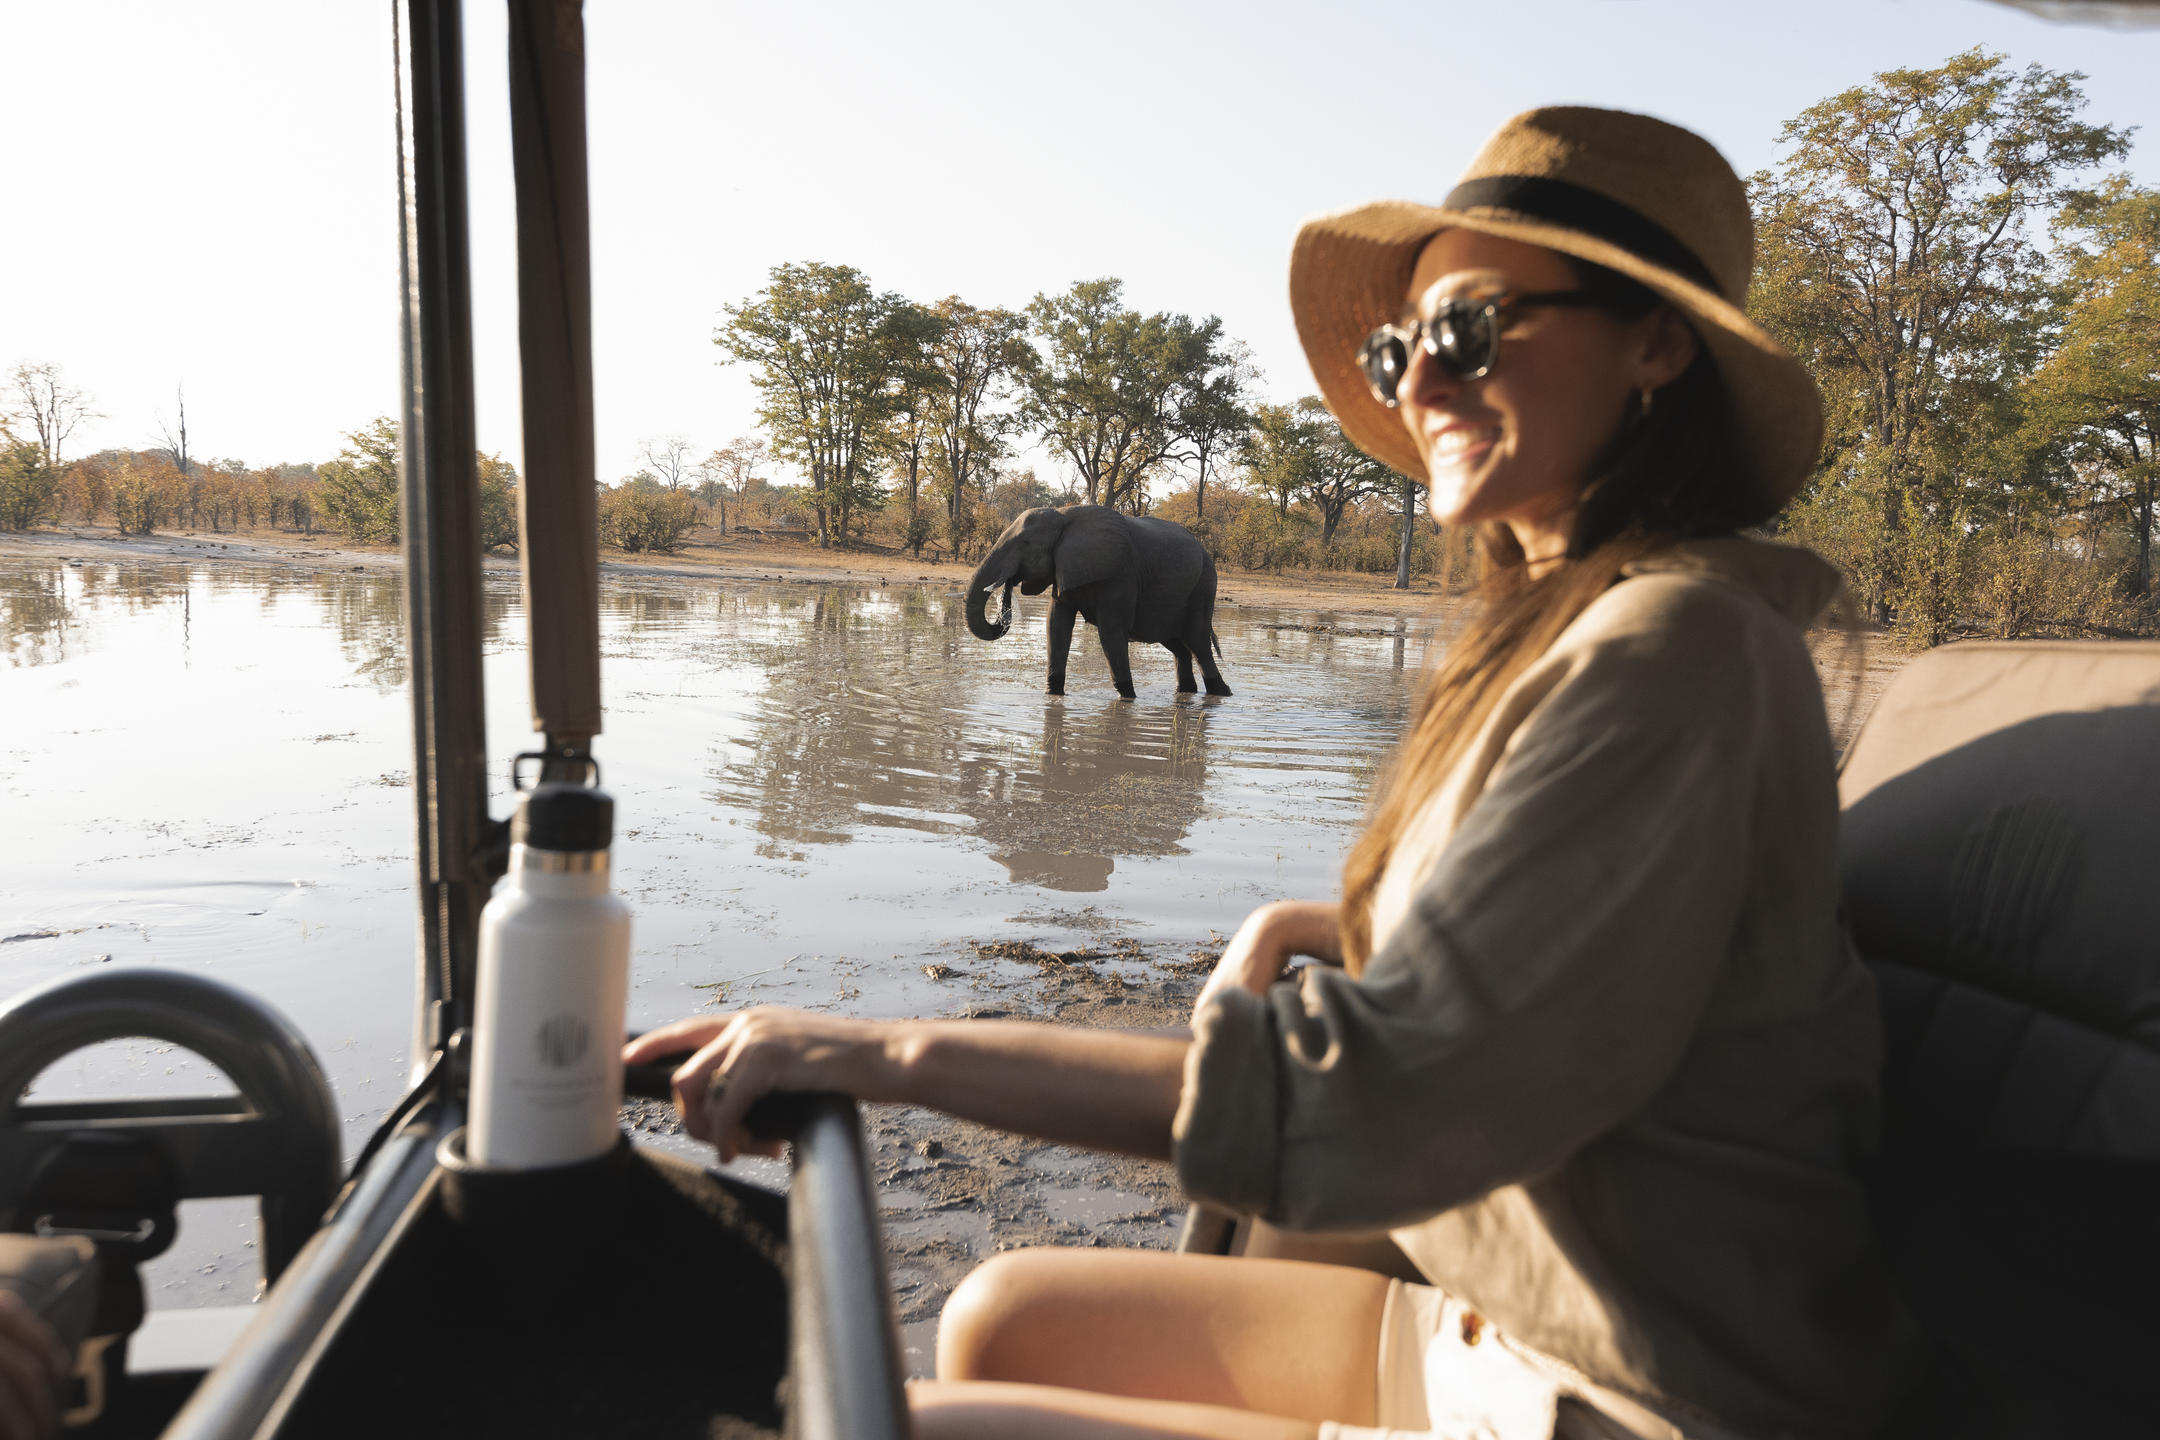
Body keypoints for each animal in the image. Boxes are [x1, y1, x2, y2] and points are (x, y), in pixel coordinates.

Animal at [967, 505, 1235, 699]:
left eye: (1025, 544)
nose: (1008, 584)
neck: (1064, 515)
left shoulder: (1120, 576)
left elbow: (1110, 633)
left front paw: (1128, 698)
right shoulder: (1064, 569)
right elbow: (1056, 626)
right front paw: (1053, 695)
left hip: (1204, 585)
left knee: (1198, 643)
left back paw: (1222, 693)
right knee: (1178, 646)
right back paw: (1186, 693)